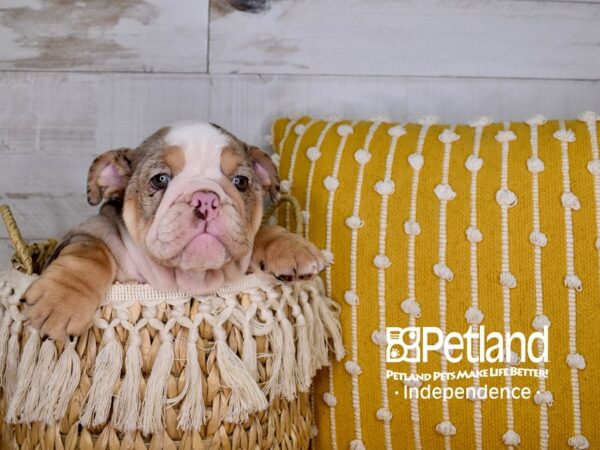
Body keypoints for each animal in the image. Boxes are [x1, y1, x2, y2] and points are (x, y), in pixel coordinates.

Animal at [22, 121, 328, 340]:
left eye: (241, 181)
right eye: (159, 179)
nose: (206, 198)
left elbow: (262, 232)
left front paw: (293, 248)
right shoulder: (88, 231)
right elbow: (90, 252)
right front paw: (61, 301)